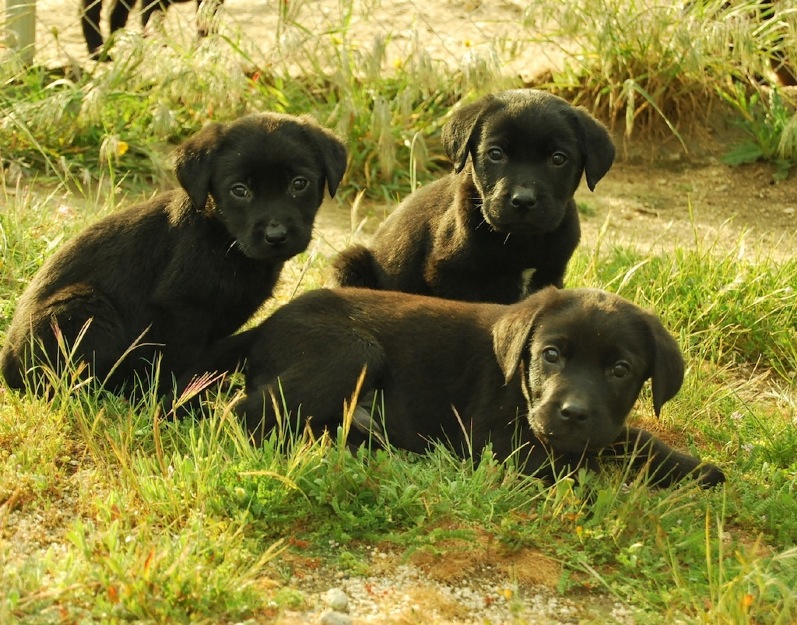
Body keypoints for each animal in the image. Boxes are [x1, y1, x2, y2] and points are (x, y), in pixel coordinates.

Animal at [1, 111, 346, 394]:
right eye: (239, 190)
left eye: (299, 184)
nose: (276, 236)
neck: (221, 237)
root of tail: (8, 367)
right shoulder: (180, 309)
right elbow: (180, 364)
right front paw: (180, 398)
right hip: (83, 307)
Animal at [235, 286, 720, 488]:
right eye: (551, 355)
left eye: (621, 370)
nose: (573, 413)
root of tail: (265, 327)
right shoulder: (495, 440)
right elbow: (572, 469)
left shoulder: (601, 427)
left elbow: (634, 440)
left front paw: (693, 469)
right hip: (354, 352)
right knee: (247, 414)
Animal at [332, 89, 616, 304]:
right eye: (495, 154)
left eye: (558, 159)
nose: (523, 200)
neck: (520, 241)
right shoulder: (451, 275)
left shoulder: (551, 274)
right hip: (348, 263)